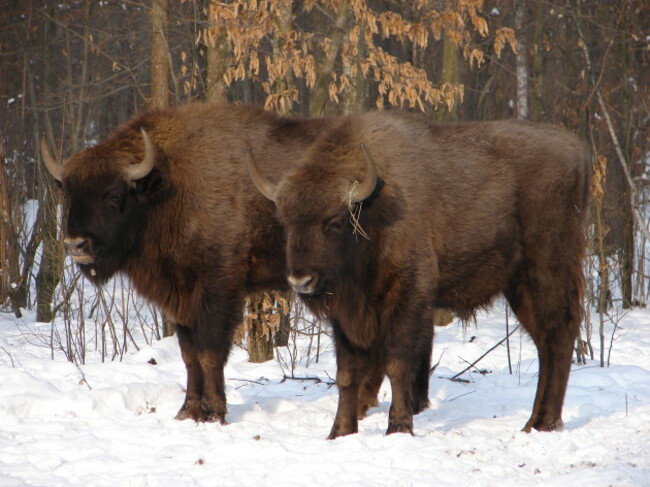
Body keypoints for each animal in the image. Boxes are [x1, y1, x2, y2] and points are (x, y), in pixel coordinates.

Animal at [38, 103, 428, 428]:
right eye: (67, 193)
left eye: (114, 195)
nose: (76, 245)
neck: (170, 183)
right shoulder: (181, 297)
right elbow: (189, 355)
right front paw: (187, 411)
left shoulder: (219, 288)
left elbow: (210, 352)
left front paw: (213, 412)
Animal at [249, 110, 592, 438]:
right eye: (285, 221)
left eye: (335, 221)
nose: (301, 281)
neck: (373, 209)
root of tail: (576, 150)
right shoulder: (346, 317)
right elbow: (347, 372)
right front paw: (340, 432)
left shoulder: (407, 296)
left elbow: (397, 363)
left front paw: (399, 427)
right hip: (518, 286)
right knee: (546, 342)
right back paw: (537, 422)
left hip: (545, 269)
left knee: (558, 335)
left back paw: (541, 423)